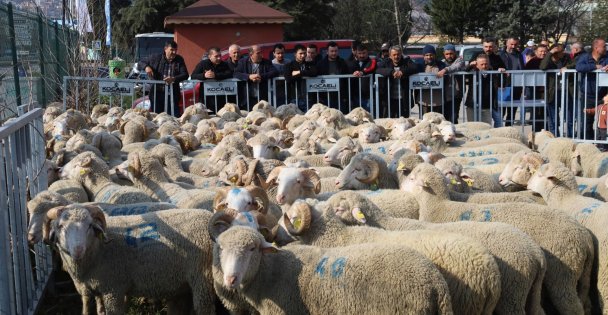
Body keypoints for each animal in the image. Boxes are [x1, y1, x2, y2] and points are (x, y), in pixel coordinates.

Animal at [44, 206, 216, 314]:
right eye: (60, 226)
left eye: (89, 226)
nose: (78, 250)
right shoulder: (95, 288)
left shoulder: (113, 288)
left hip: (203, 278)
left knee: (204, 309)